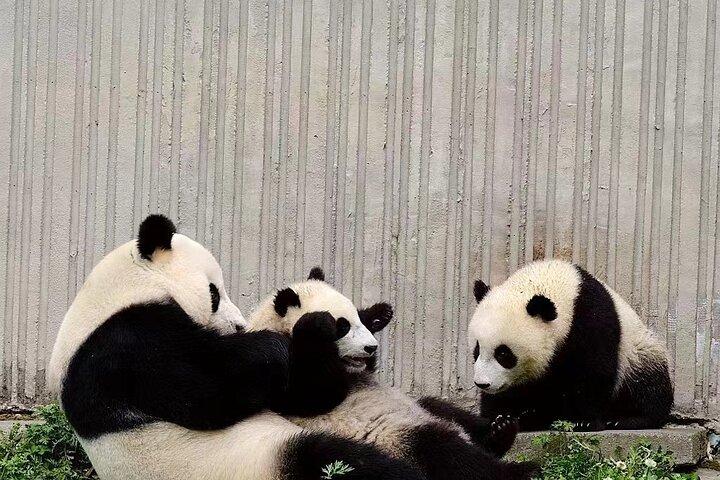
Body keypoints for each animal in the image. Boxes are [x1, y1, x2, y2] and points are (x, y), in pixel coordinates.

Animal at [47, 214, 425, 480]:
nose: (239, 326)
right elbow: (216, 387)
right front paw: (300, 333)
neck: (121, 291)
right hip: (258, 460)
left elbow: (293, 394)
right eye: (214, 293)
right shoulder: (129, 346)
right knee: (334, 461)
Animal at [248, 268, 539, 480]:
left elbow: (367, 369)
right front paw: (317, 324)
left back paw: (499, 431)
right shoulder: (276, 365)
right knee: (446, 453)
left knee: (443, 408)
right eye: (342, 326)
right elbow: (314, 394)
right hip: (393, 437)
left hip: (417, 405)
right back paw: (519, 470)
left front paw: (379, 314)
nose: (371, 347)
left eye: (356, 319)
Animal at [468, 259, 674, 432]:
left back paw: (627, 419)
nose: (482, 383)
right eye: (477, 350)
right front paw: (500, 419)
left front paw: (585, 421)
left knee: (647, 386)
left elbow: (594, 372)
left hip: (638, 353)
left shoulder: (591, 319)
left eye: (503, 354)